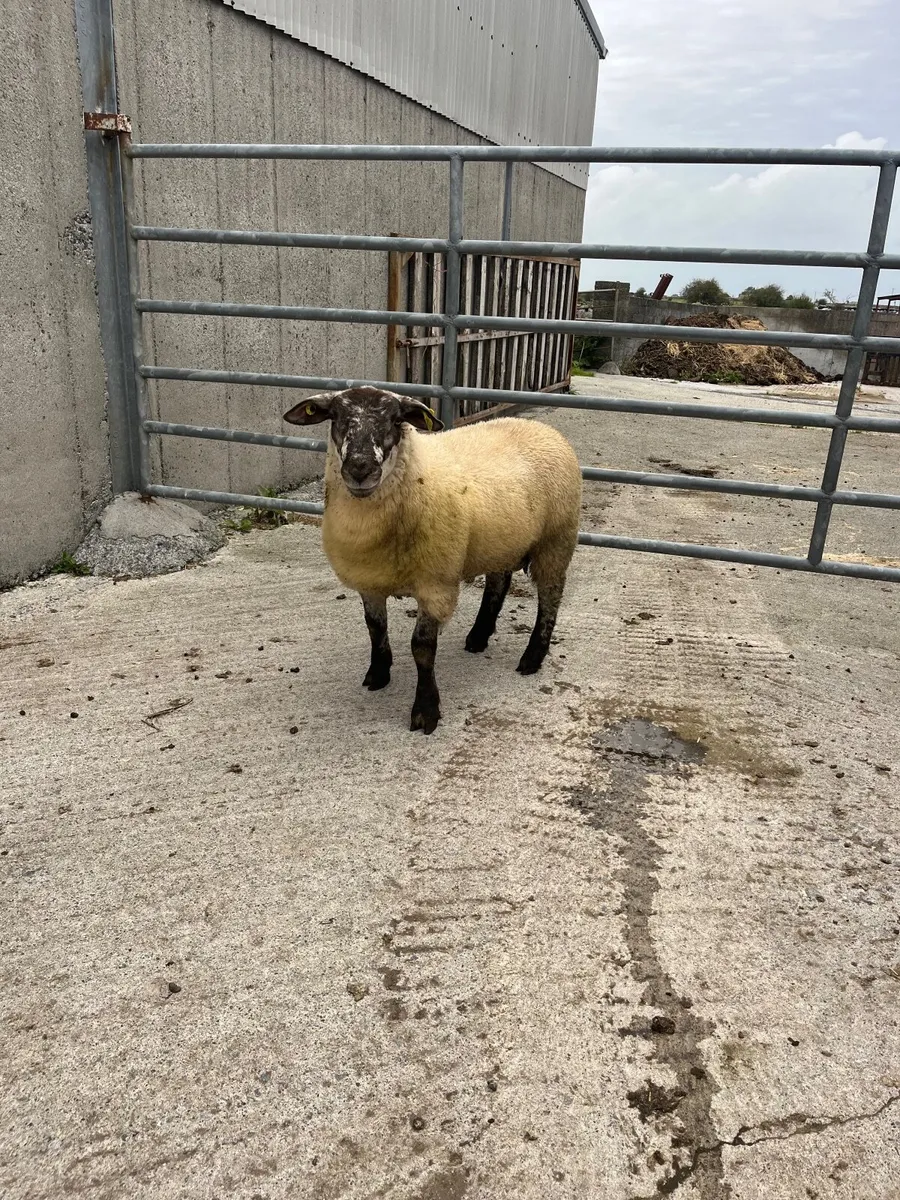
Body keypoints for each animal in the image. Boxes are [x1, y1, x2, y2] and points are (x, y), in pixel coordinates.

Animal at [283, 386, 582, 734]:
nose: (360, 469)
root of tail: (542, 427)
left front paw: (426, 710)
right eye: (336, 417)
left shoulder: (435, 585)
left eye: (396, 419)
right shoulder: (370, 580)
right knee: (499, 581)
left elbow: (422, 647)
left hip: (556, 540)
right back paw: (479, 636)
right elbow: (375, 627)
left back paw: (533, 657)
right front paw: (378, 674)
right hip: (502, 540)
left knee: (550, 596)